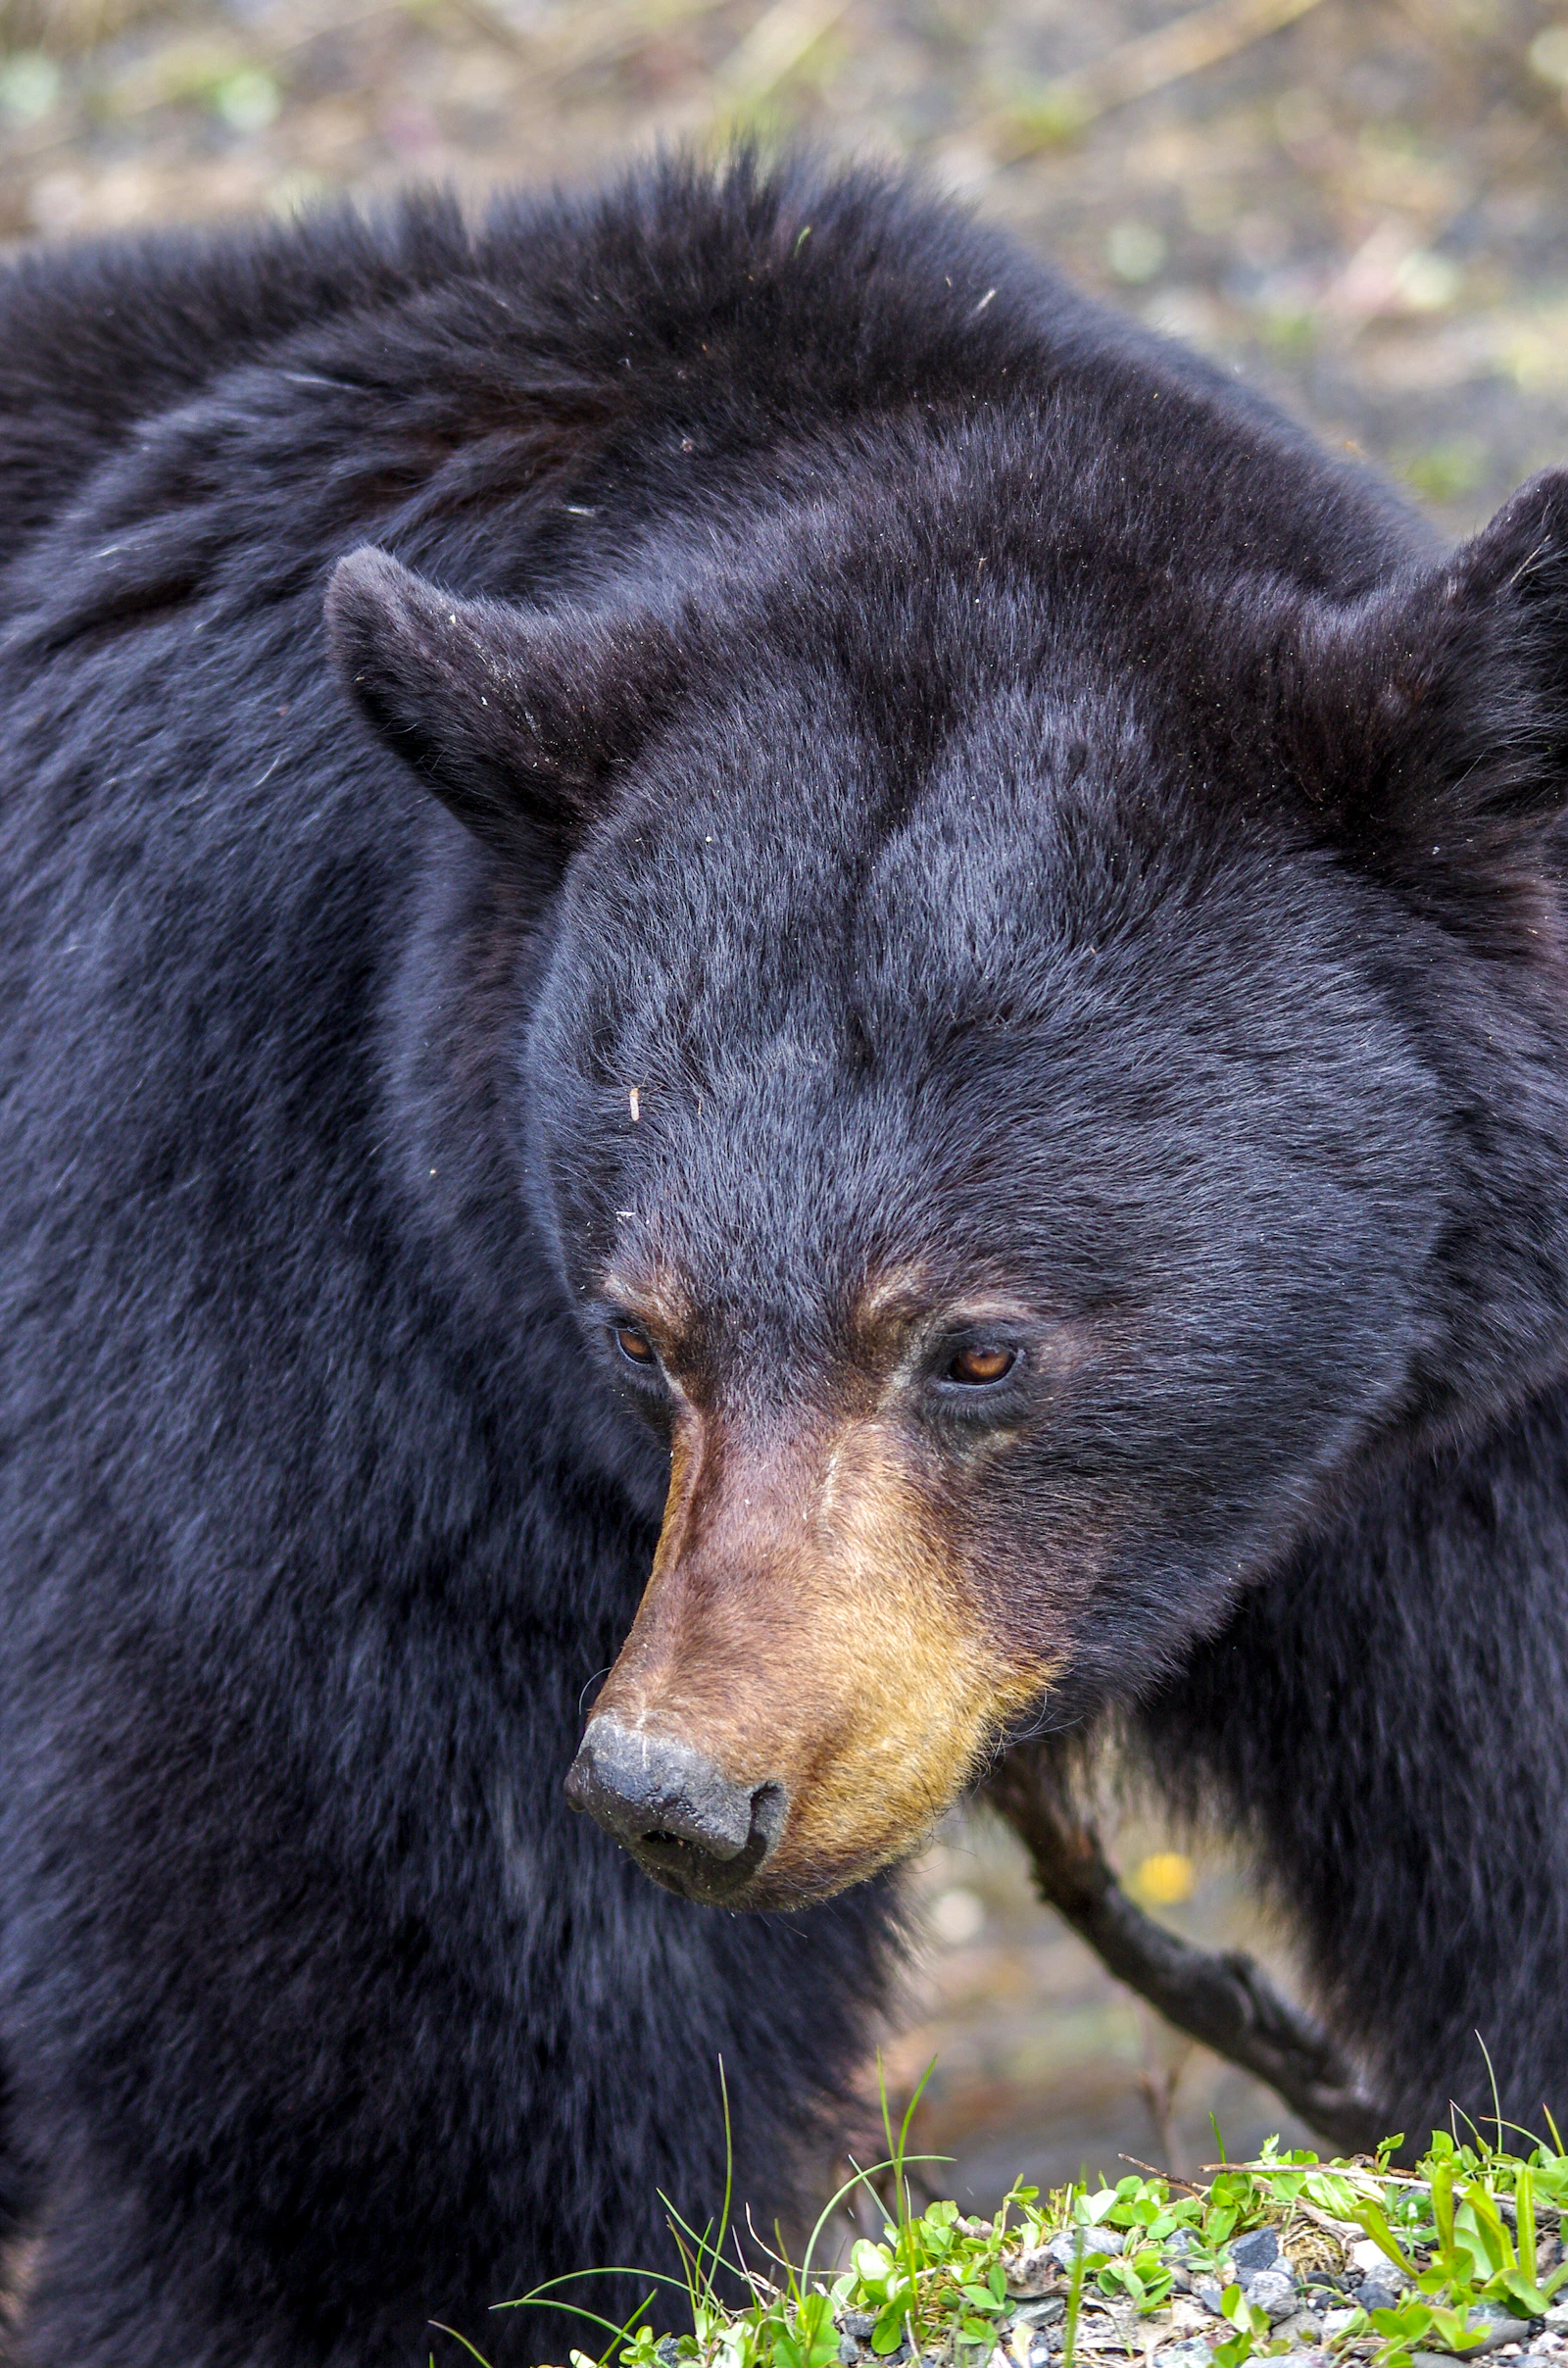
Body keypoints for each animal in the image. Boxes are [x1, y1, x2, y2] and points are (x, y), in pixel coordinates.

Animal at [2, 142, 1568, 2365]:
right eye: (640, 1335)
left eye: (976, 1346)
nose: (679, 1787)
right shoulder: (286, 1273)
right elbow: (381, 2044)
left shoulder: (1465, 1395)